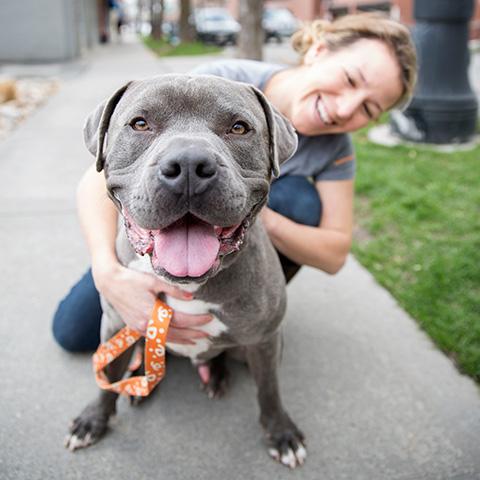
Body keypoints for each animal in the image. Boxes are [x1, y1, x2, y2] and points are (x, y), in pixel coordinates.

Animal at [64, 75, 308, 468]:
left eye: (239, 127)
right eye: (140, 123)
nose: (190, 164)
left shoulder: (265, 340)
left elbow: (269, 389)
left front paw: (282, 433)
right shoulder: (115, 322)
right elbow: (108, 378)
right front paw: (93, 420)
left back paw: (216, 376)